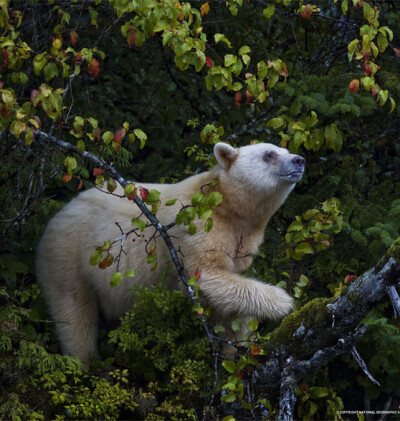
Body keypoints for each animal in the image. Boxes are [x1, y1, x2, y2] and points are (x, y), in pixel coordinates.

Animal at [36, 141, 306, 360]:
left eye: (285, 150)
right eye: (269, 154)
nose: (299, 160)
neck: (226, 205)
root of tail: (56, 217)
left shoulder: (242, 241)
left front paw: (236, 347)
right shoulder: (197, 225)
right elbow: (206, 275)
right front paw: (284, 302)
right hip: (69, 256)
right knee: (74, 314)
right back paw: (85, 362)